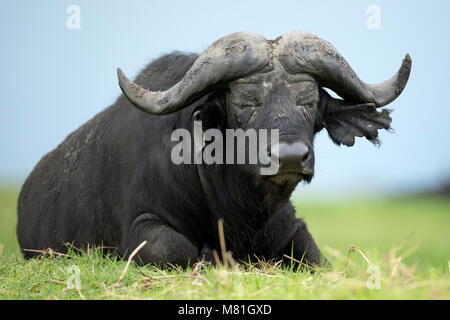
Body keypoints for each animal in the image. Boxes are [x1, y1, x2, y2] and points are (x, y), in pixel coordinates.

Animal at [16, 31, 412, 268]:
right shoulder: (140, 226)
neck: (237, 211)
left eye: (310, 101)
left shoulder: (292, 228)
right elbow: (175, 248)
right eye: (246, 103)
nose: (289, 157)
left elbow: (314, 256)